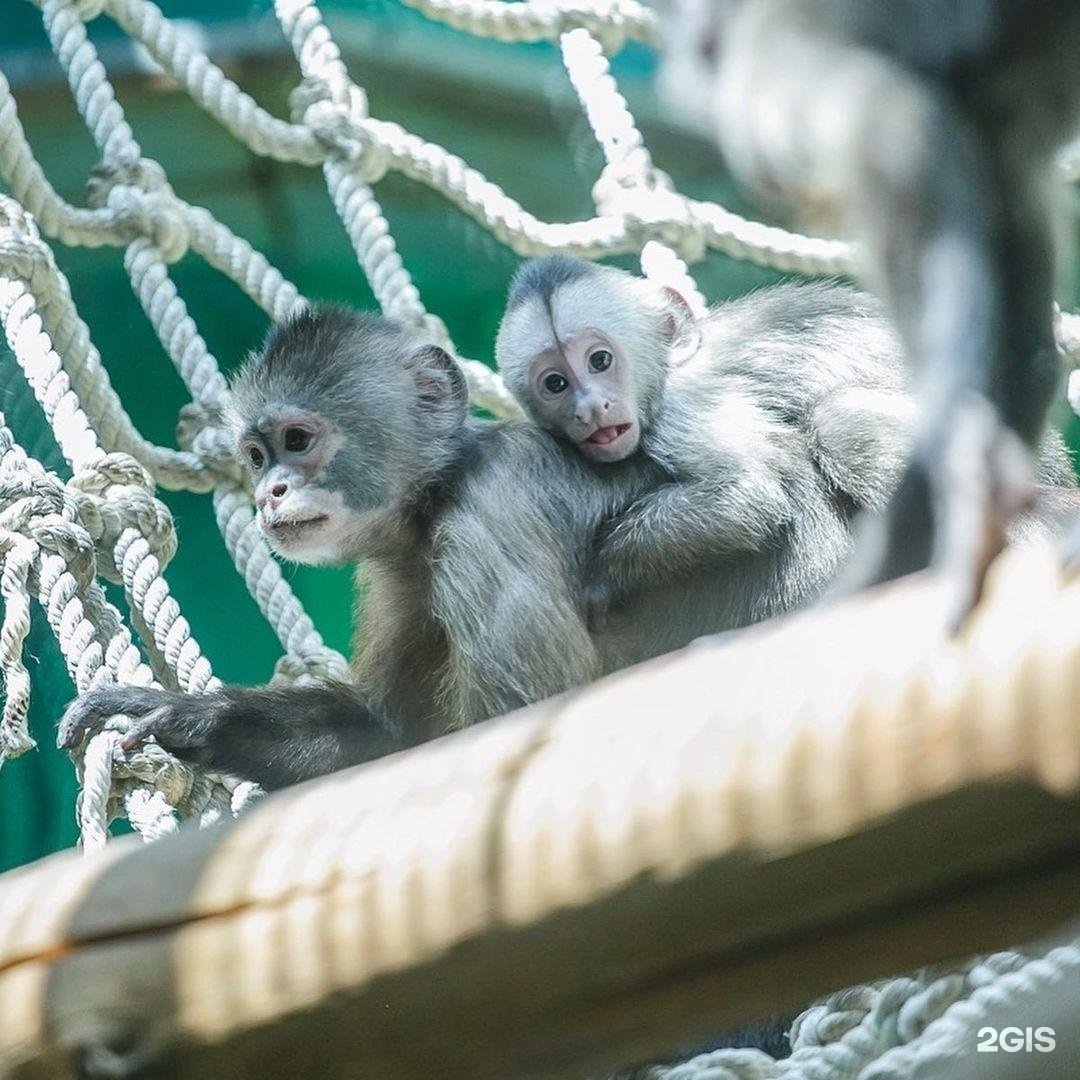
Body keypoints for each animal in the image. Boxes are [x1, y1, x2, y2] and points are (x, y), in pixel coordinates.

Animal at [496, 254, 1080, 626]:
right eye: (555, 384)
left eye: (600, 360)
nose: (591, 408)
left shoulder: (686, 407)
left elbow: (744, 495)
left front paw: (602, 577)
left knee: (840, 425)